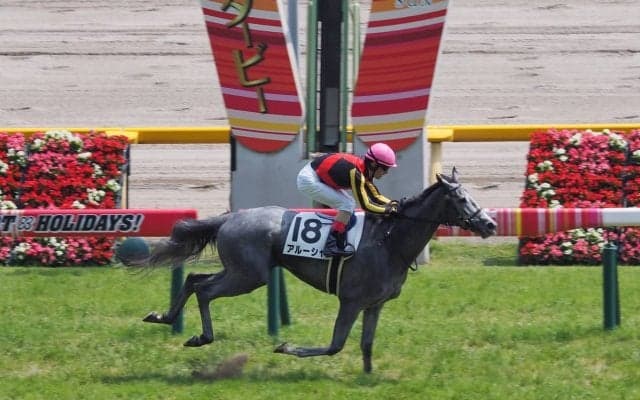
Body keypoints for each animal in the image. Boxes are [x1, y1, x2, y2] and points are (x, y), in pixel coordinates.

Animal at [141, 168, 497, 373]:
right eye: (461, 199)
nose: (490, 224)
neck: (390, 241)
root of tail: (230, 217)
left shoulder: (375, 304)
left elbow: (366, 345)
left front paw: (369, 377)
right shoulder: (351, 301)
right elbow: (335, 345)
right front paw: (285, 346)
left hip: (242, 273)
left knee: (193, 279)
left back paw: (164, 317)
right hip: (248, 276)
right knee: (204, 289)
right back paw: (201, 336)